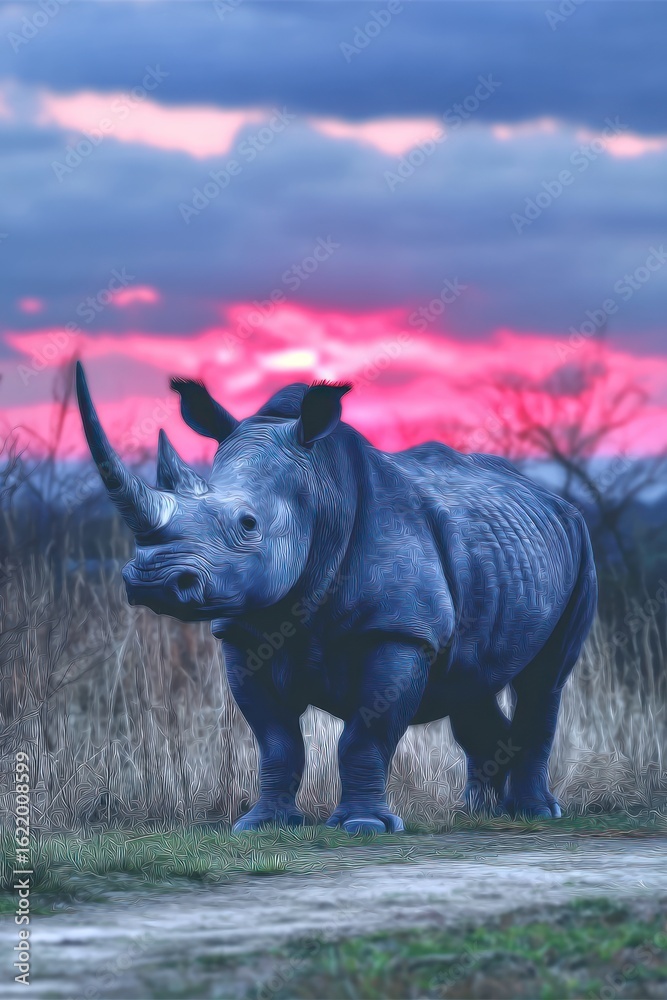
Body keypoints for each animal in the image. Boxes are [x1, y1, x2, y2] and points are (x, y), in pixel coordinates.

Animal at [76, 361, 597, 833]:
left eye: (248, 523)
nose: (155, 580)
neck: (320, 497)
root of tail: (552, 499)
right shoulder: (244, 633)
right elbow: (276, 739)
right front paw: (264, 825)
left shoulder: (400, 631)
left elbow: (364, 735)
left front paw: (364, 826)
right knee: (471, 679)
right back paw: (476, 813)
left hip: (580, 544)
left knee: (543, 680)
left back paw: (535, 813)